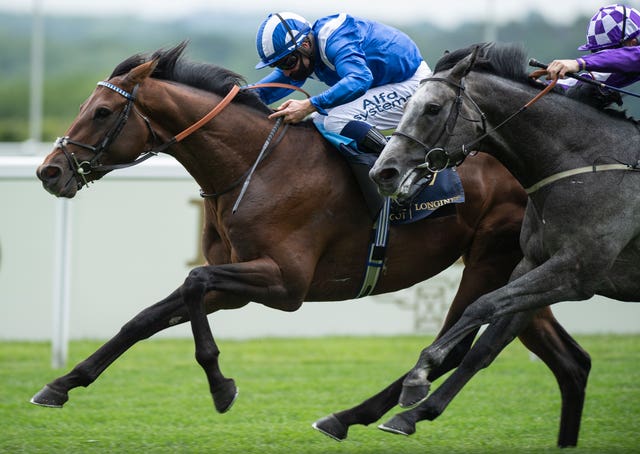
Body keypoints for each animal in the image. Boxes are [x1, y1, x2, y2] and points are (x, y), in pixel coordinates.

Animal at [31, 40, 592, 446]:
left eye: (103, 112)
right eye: (86, 105)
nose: (49, 171)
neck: (252, 165)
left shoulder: (285, 283)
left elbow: (193, 281)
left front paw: (221, 387)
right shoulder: (238, 284)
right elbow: (147, 317)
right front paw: (61, 384)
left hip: (488, 258)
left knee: (456, 342)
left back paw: (355, 416)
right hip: (525, 269)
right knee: (569, 360)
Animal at [370, 42, 640, 446]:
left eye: (432, 108)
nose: (382, 172)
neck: (588, 163)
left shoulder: (576, 272)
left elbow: (480, 306)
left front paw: (419, 375)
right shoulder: (534, 265)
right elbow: (487, 345)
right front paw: (413, 414)